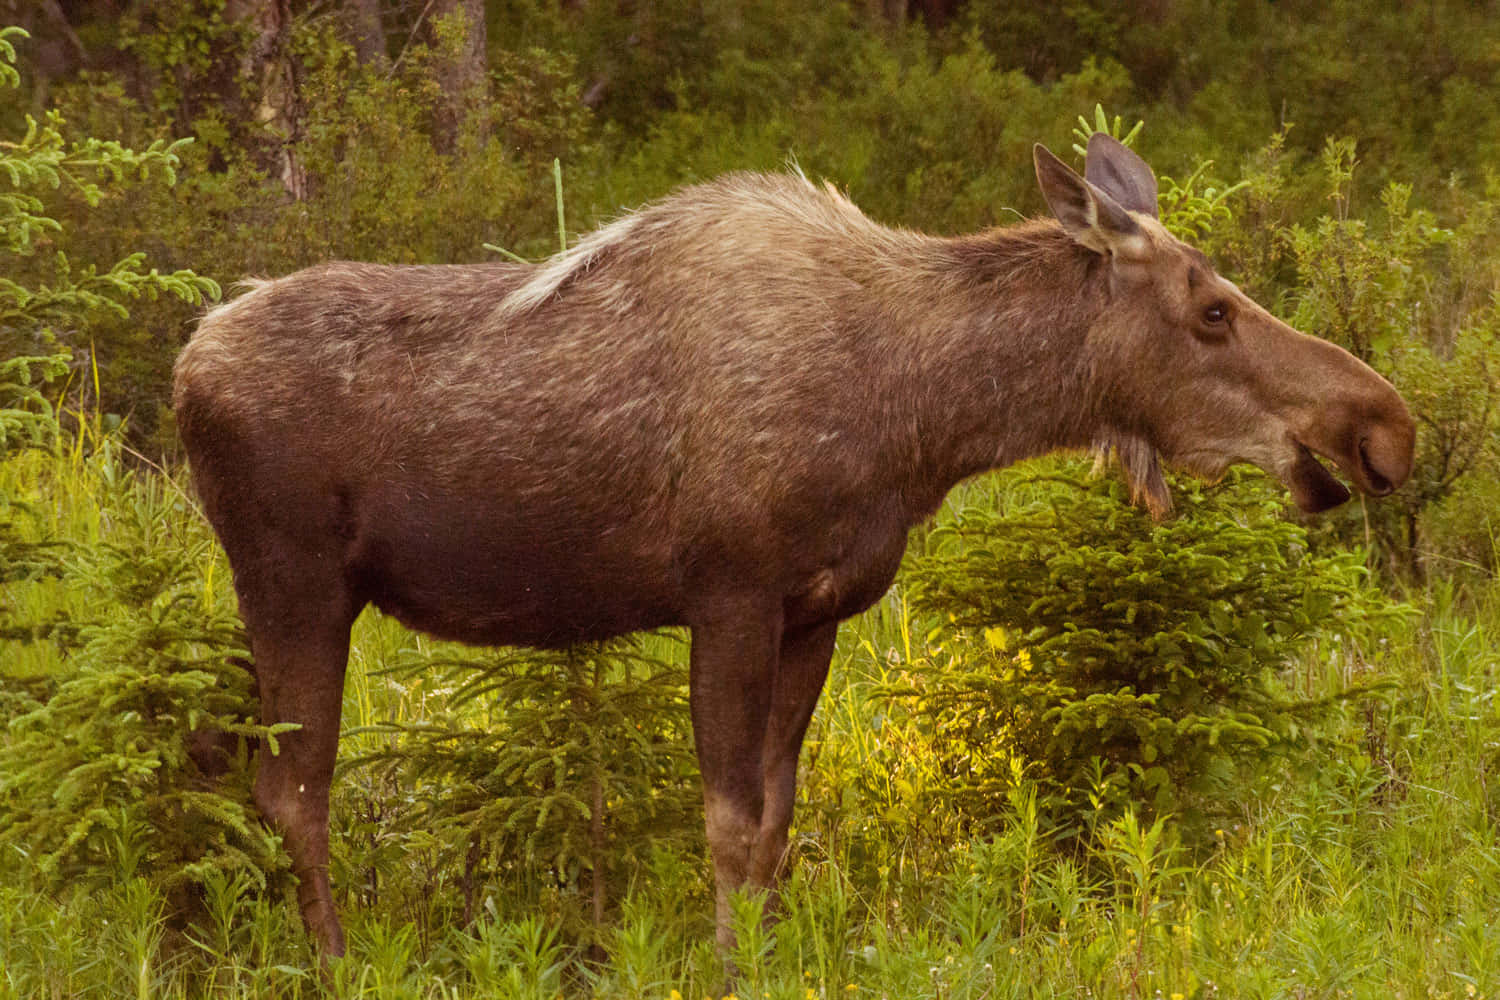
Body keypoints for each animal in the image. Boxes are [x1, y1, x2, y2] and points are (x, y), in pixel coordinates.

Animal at [175, 137, 1416, 959]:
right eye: (1212, 310)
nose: (1383, 425)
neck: (917, 420)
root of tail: (186, 365)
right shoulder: (731, 589)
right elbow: (726, 822)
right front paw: (728, 963)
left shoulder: (819, 608)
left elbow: (776, 819)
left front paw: (767, 952)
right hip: (295, 578)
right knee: (294, 787)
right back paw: (335, 961)